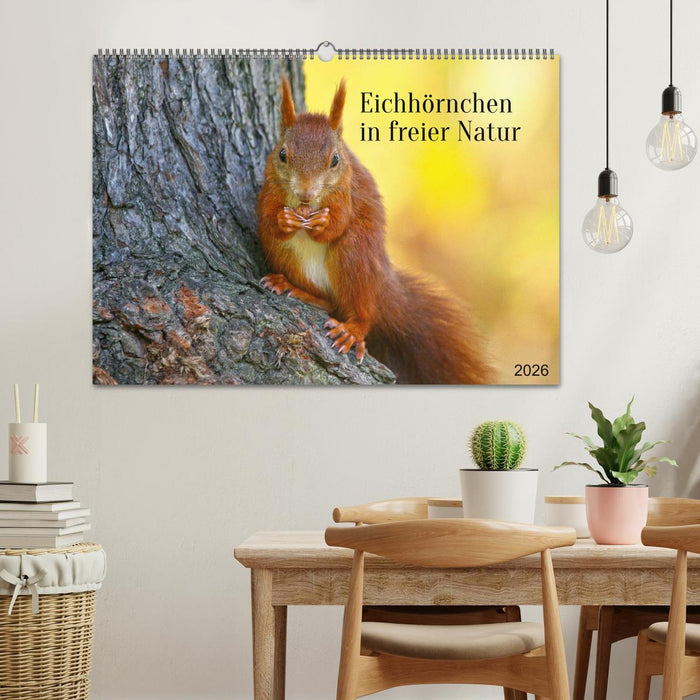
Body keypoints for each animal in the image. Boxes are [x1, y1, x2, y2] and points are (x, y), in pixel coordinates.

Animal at [257, 77, 494, 385]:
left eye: (335, 160)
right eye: (283, 154)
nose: (305, 193)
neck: (306, 206)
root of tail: (381, 285)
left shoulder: (346, 193)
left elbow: (338, 223)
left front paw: (323, 224)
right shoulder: (269, 187)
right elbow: (266, 216)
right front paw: (284, 220)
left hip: (354, 256)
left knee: (363, 311)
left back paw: (352, 330)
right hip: (284, 255)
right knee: (328, 301)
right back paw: (291, 287)